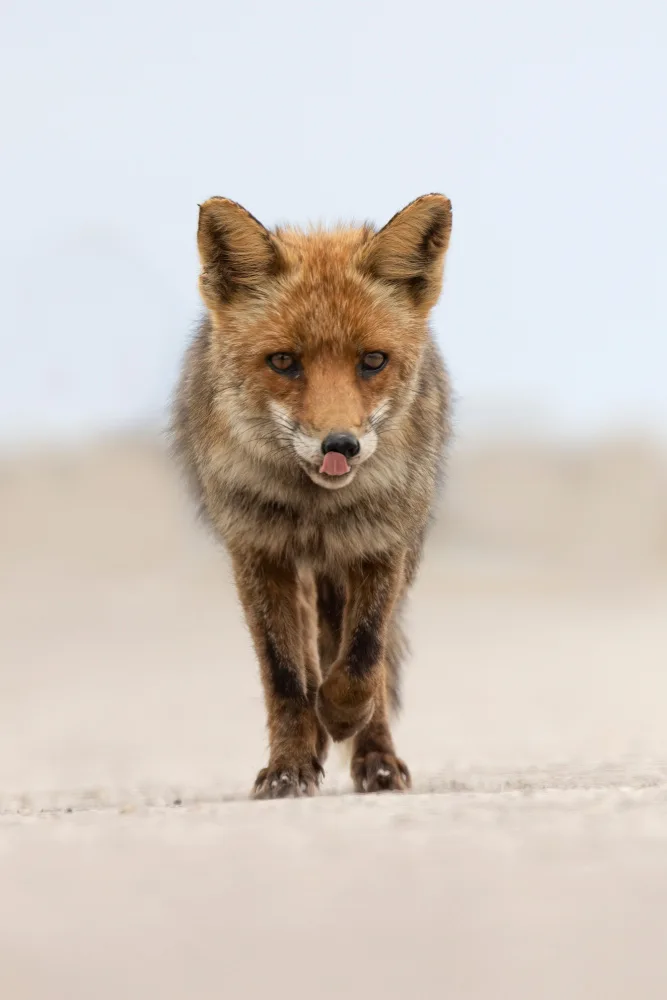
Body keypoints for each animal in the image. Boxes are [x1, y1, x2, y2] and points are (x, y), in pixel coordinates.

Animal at [173, 193, 453, 798]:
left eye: (372, 361)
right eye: (284, 361)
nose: (341, 445)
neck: (316, 510)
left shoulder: (382, 544)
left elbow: (364, 658)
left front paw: (345, 720)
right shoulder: (259, 553)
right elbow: (283, 674)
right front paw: (289, 766)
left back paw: (373, 756)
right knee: (305, 653)